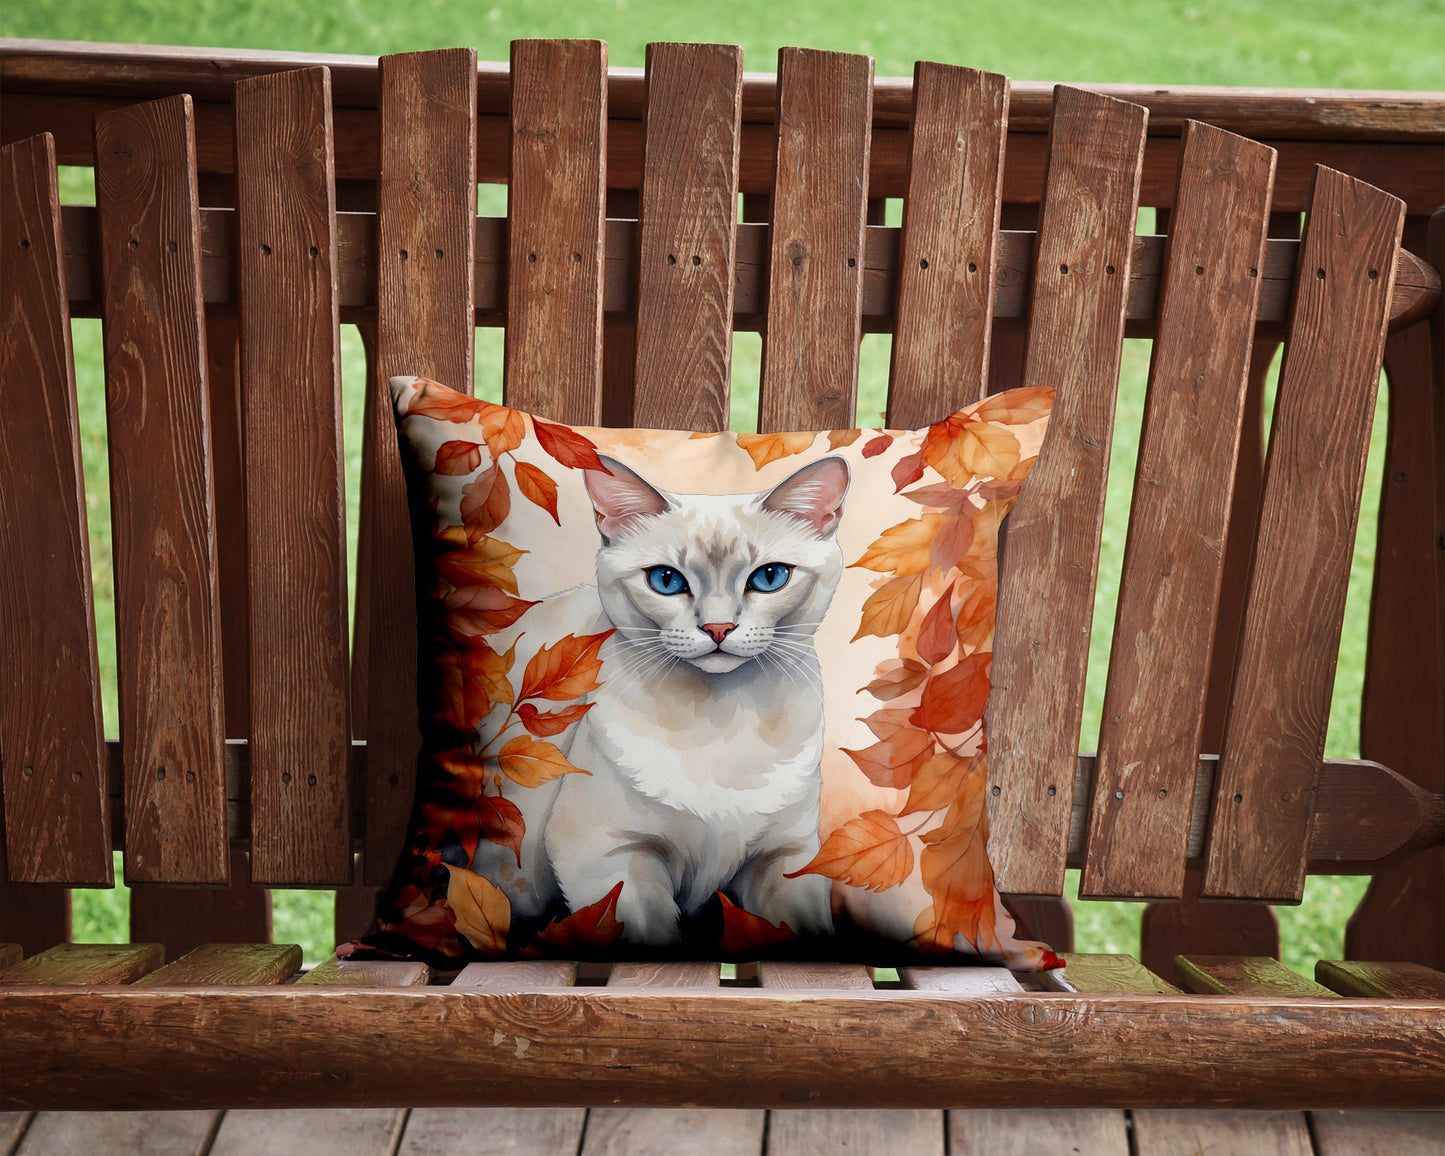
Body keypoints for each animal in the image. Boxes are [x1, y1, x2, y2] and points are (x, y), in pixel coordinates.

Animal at [476, 450, 843, 947]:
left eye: (770, 577)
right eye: (667, 581)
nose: (718, 628)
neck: (720, 730)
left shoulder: (788, 857)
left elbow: (806, 927)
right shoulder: (607, 856)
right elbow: (654, 935)